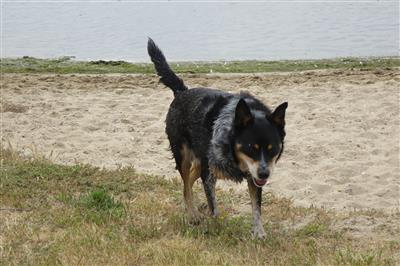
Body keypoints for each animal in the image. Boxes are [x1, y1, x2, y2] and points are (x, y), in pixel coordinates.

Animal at [147, 38, 288, 239]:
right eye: (250, 147)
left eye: (273, 148)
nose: (264, 174)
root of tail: (182, 91)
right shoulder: (210, 173)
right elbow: (214, 208)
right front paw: (216, 228)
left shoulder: (253, 175)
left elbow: (256, 207)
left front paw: (259, 233)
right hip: (183, 154)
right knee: (186, 183)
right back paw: (192, 214)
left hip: (200, 160)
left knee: (189, 181)